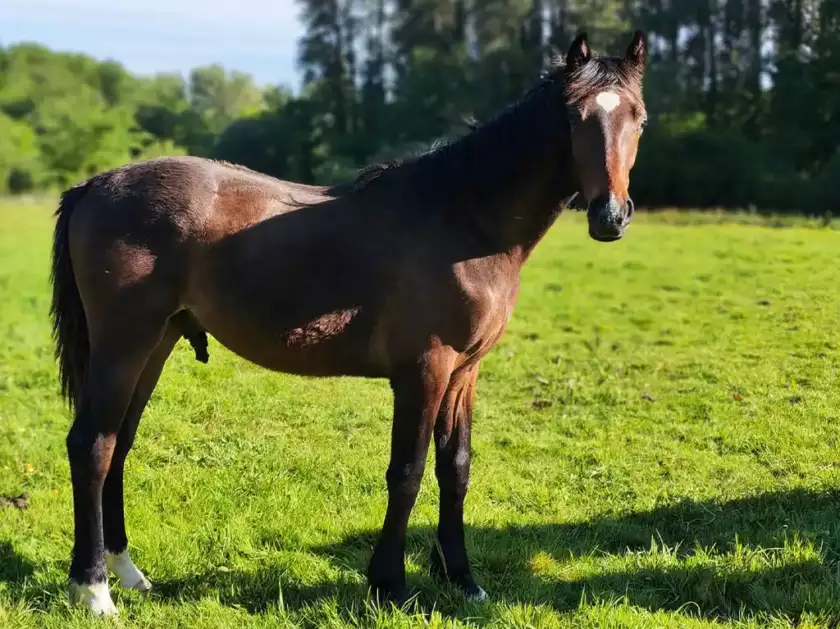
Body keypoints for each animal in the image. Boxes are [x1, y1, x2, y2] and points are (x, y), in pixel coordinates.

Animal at [49, 31, 648, 615]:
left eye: (639, 118)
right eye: (573, 118)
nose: (611, 216)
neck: (463, 222)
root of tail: (95, 185)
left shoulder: (463, 374)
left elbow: (455, 469)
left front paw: (462, 579)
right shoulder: (424, 370)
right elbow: (406, 473)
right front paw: (389, 584)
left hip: (157, 342)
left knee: (120, 442)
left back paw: (128, 573)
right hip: (124, 344)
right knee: (92, 445)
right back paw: (93, 590)